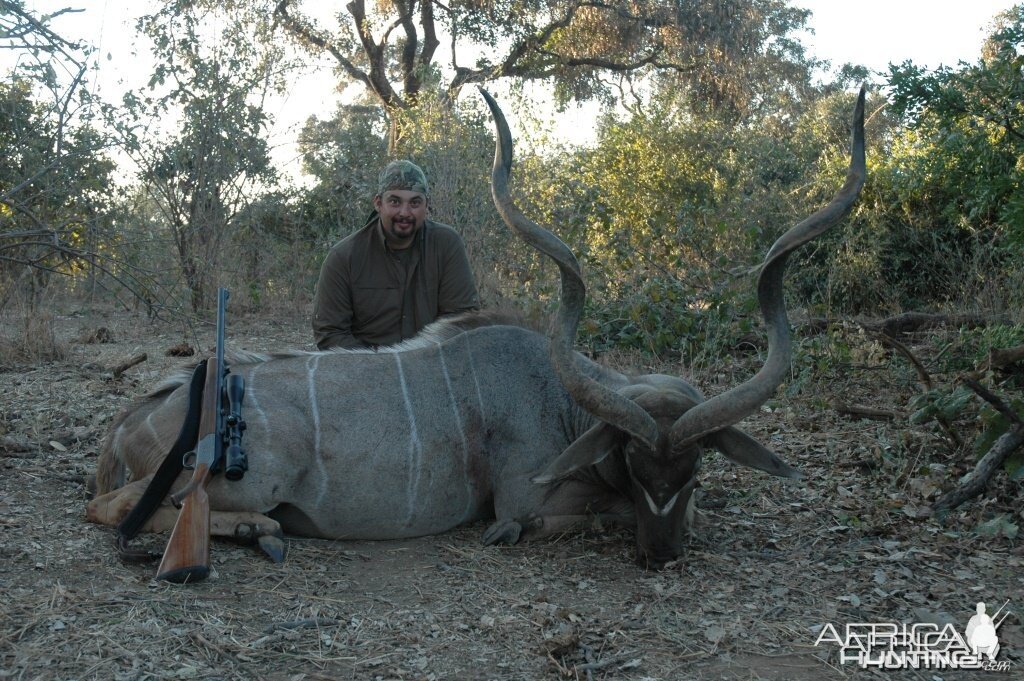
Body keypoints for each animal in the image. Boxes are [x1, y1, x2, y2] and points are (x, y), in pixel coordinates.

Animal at [90, 90, 864, 569]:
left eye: (696, 469)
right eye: (634, 464)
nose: (660, 554)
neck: (558, 395)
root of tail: (132, 419)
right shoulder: (531, 494)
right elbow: (552, 517)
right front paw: (507, 533)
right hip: (242, 480)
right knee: (116, 506)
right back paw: (262, 531)